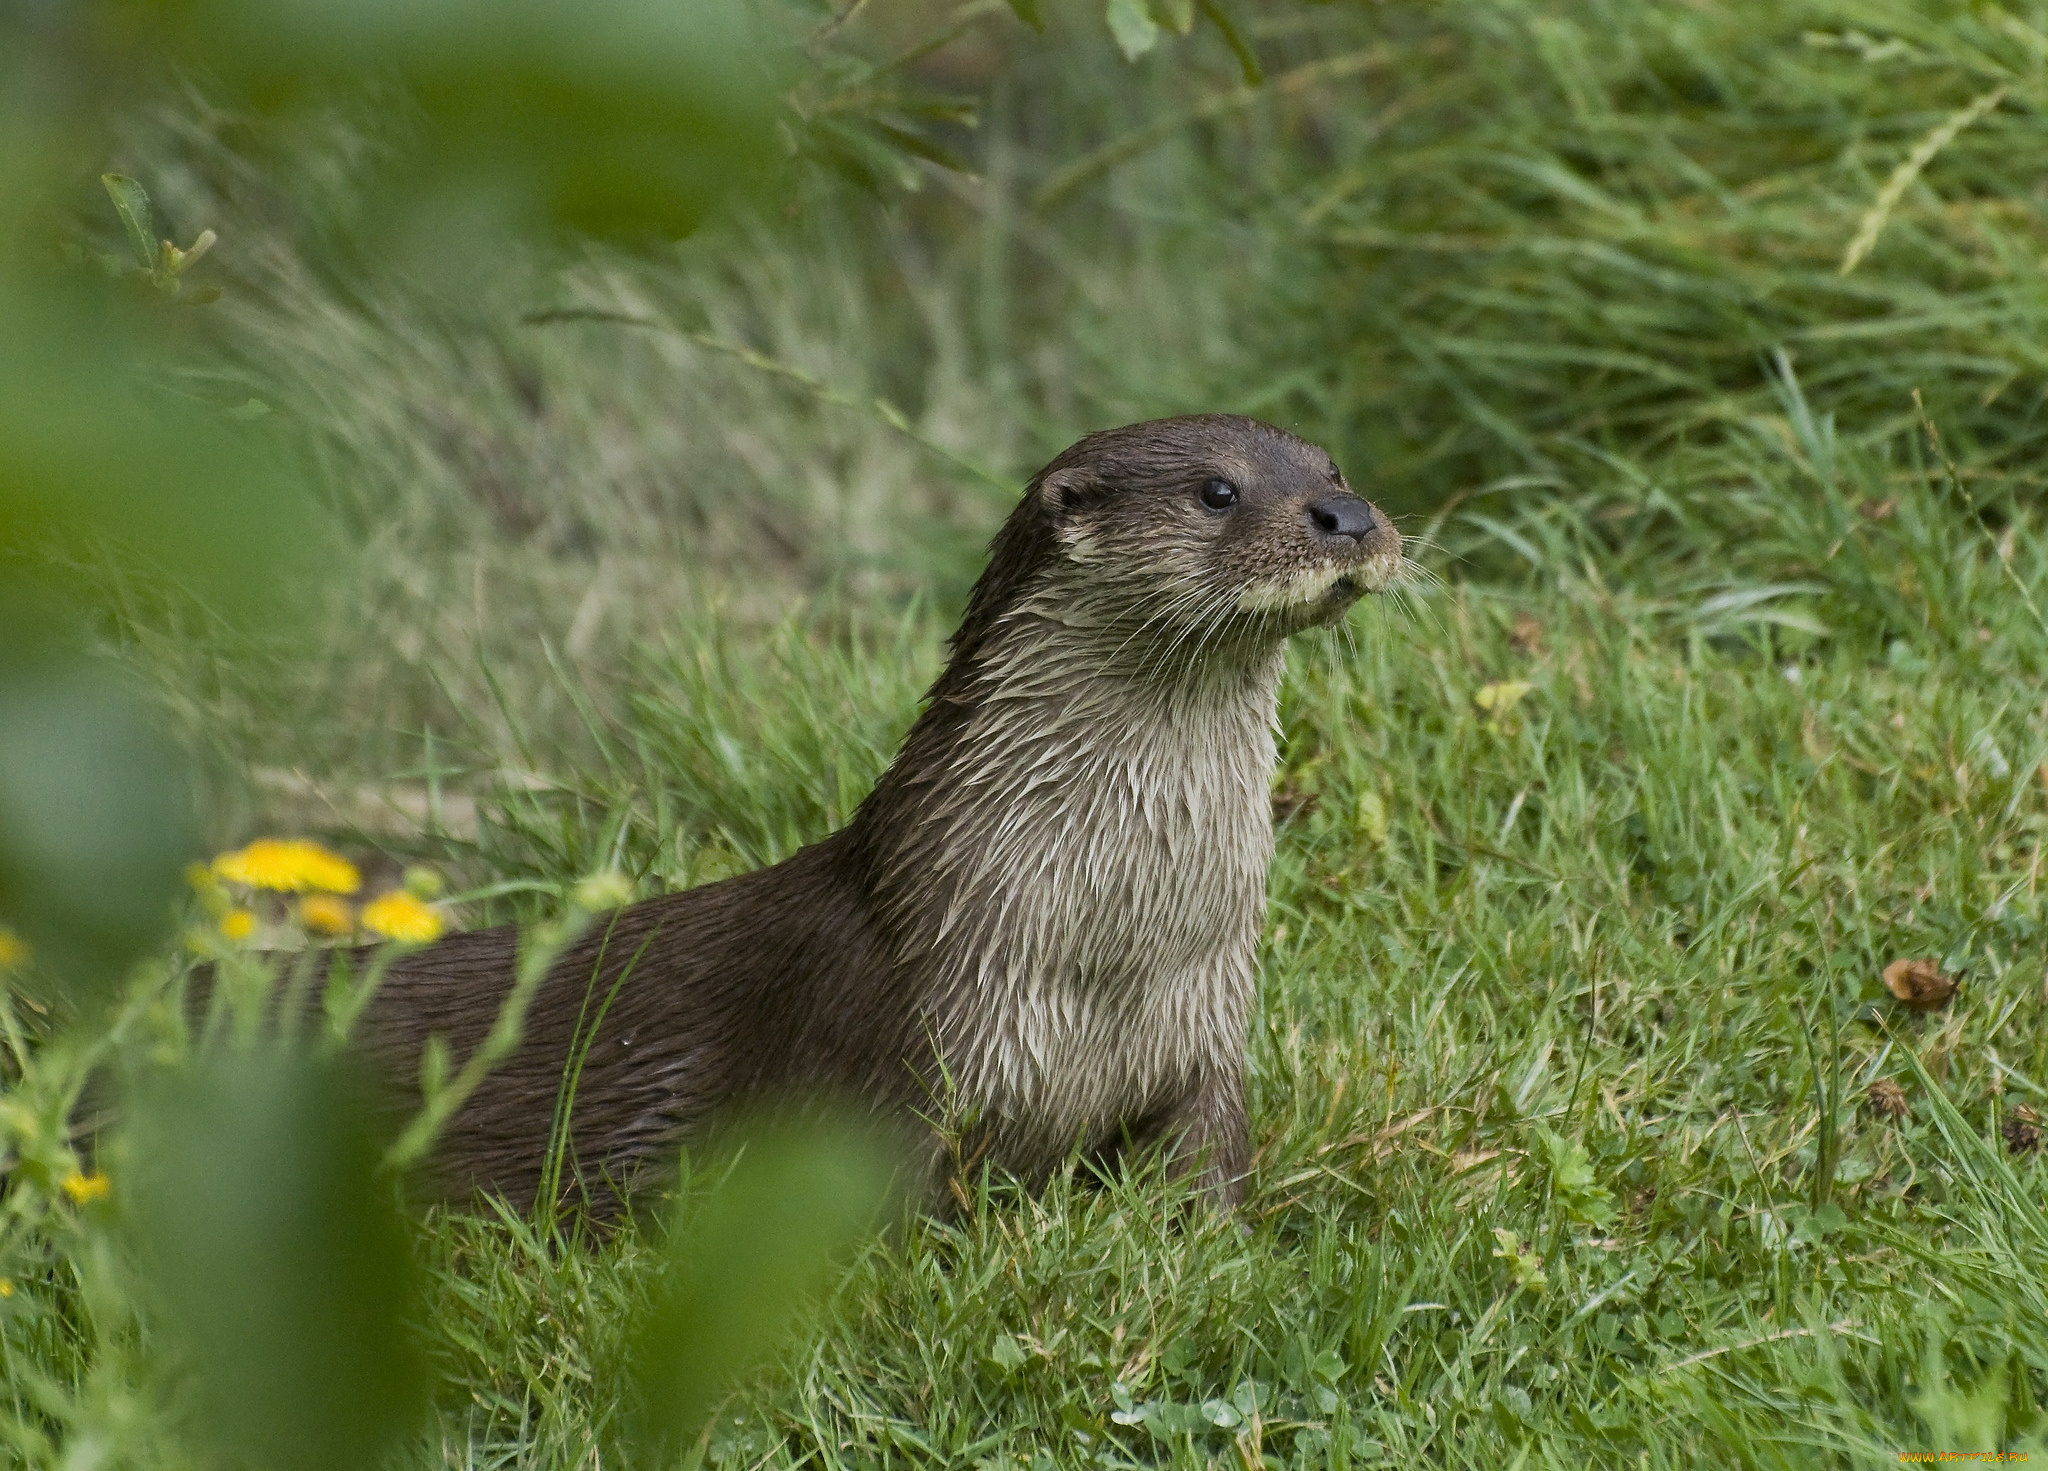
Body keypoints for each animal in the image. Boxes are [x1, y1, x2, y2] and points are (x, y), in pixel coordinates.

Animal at [352, 411, 1409, 1212]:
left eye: (1334, 467)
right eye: (1218, 491)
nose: (1350, 515)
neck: (1107, 950)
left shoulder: (1206, 1039)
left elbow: (1209, 1173)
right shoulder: (900, 1055)